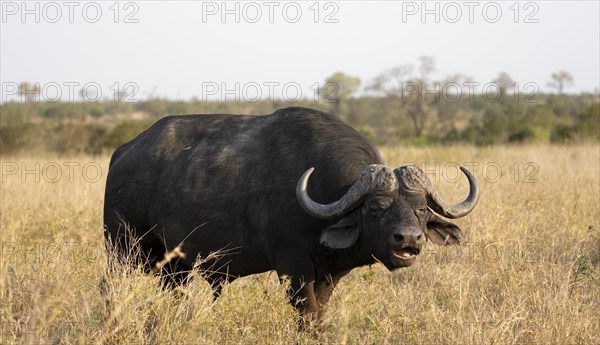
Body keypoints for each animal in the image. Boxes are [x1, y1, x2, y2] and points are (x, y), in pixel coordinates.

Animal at [103, 107, 478, 320]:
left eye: (420, 209)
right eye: (375, 208)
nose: (409, 239)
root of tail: (123, 152)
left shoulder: (329, 275)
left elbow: (320, 315)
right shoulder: (293, 269)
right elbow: (307, 317)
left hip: (175, 266)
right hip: (120, 251)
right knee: (110, 290)